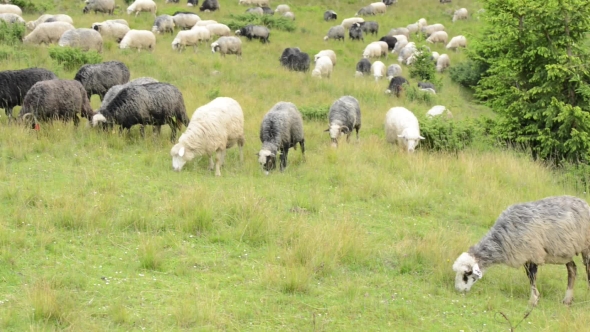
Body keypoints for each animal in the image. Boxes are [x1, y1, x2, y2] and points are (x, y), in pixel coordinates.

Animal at [454, 195, 590, 306]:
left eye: (467, 274)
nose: (458, 290)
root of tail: (585, 203)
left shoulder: (533, 254)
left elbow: (531, 277)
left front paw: (533, 300)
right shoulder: (526, 256)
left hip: (586, 247)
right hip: (565, 252)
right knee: (572, 269)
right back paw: (567, 300)